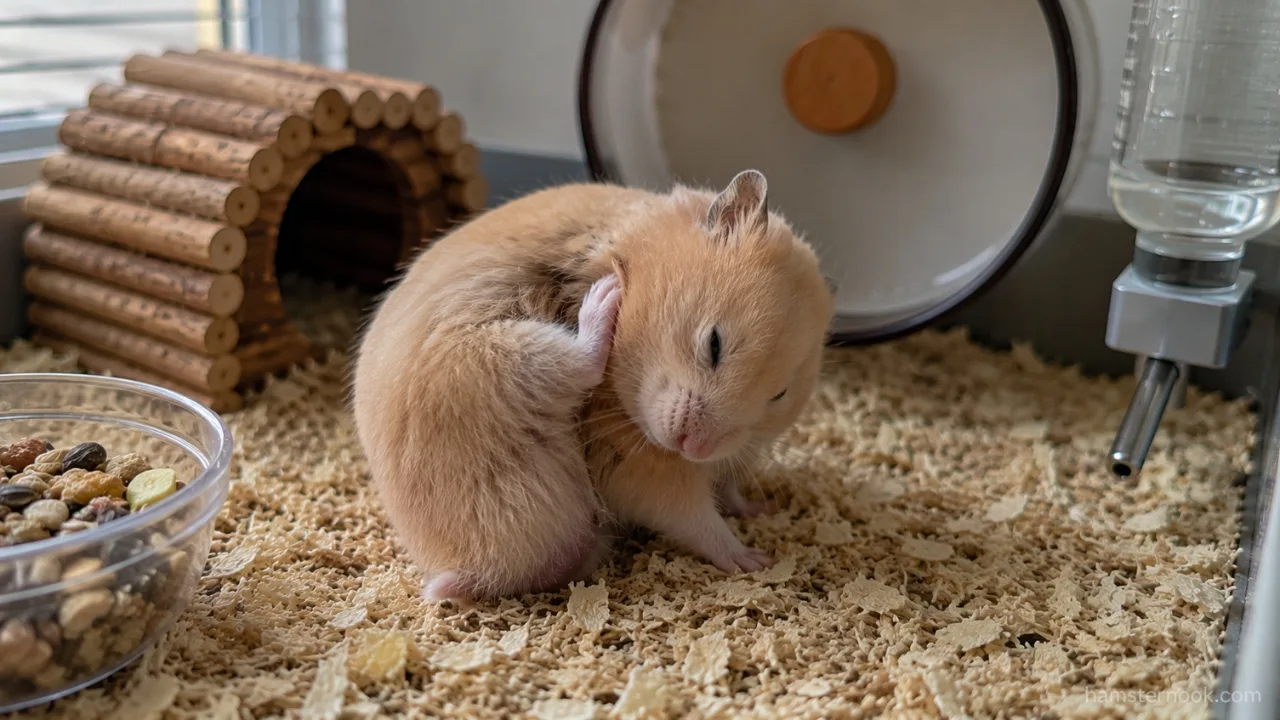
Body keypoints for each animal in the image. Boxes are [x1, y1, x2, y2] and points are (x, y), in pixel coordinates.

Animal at [351, 169, 834, 602]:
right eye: (714, 344)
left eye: (778, 396)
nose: (692, 447)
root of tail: (469, 568)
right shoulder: (630, 464)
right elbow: (694, 518)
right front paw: (754, 560)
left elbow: (728, 487)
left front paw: (760, 510)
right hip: (503, 360)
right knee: (578, 365)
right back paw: (604, 300)